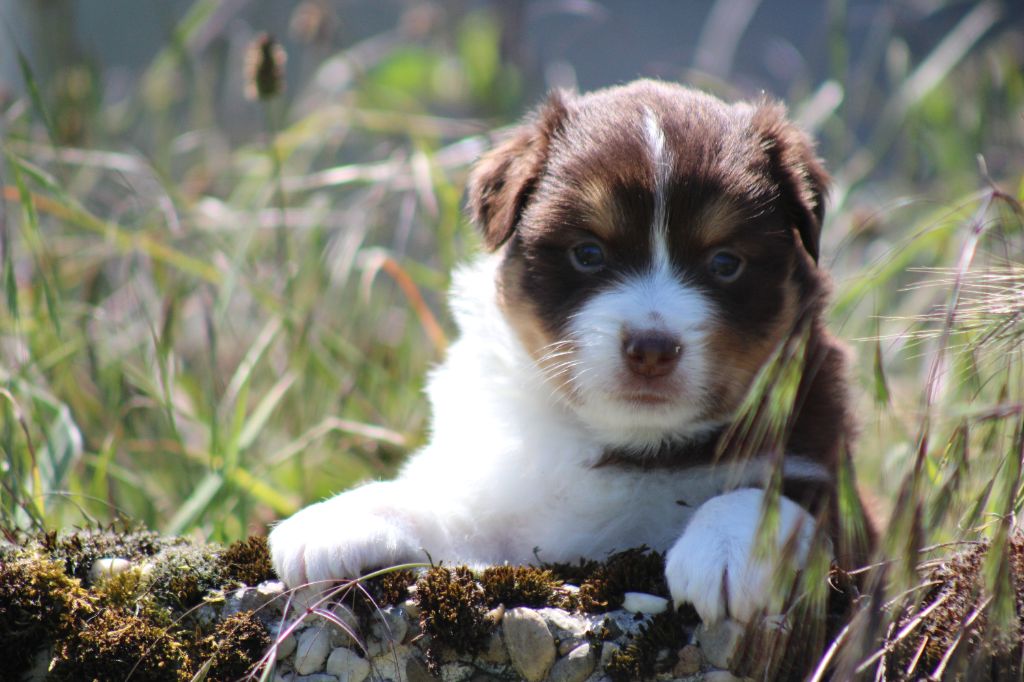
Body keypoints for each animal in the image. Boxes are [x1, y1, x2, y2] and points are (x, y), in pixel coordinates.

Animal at [270, 79, 866, 625]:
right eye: (588, 253)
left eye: (725, 263)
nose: (652, 349)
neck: (633, 445)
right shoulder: (507, 507)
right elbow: (441, 507)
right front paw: (337, 519)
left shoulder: (833, 488)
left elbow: (769, 495)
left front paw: (733, 548)